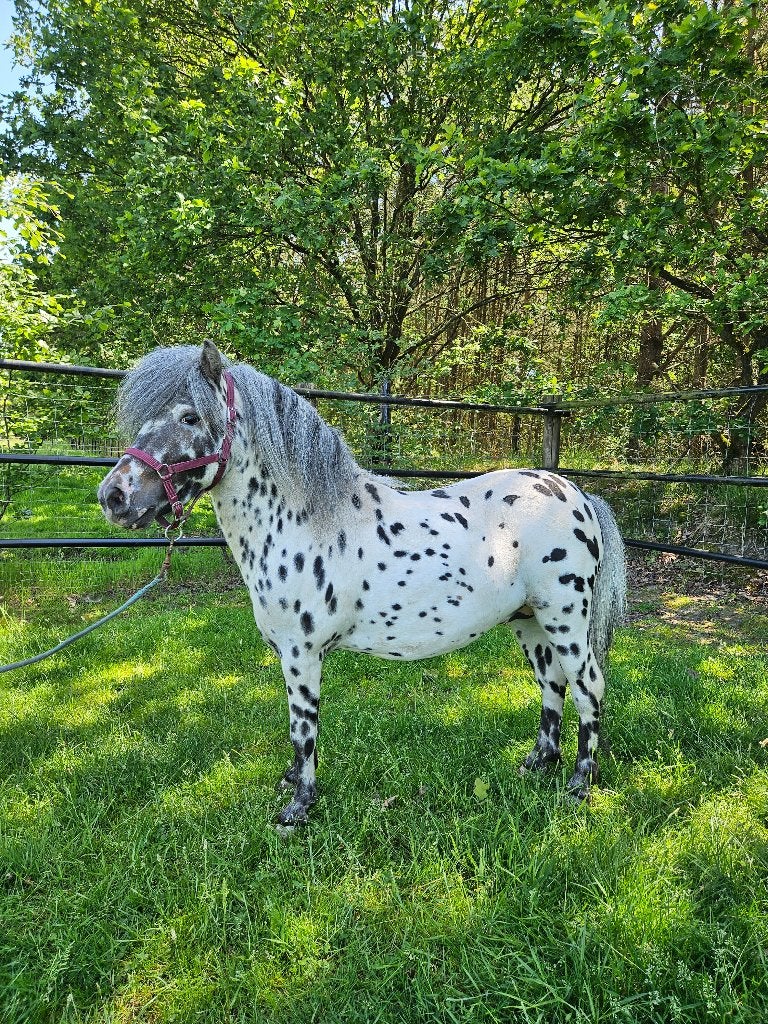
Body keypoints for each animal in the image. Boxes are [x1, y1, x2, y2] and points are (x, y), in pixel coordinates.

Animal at [98, 340, 627, 826]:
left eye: (189, 417)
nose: (113, 497)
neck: (303, 520)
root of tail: (576, 493)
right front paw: (291, 784)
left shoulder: (302, 653)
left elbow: (303, 728)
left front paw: (298, 807)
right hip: (529, 622)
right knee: (552, 686)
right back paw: (537, 765)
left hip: (564, 621)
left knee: (588, 687)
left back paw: (580, 784)